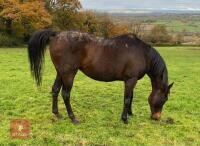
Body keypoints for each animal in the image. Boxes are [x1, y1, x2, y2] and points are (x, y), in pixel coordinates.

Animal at [27, 29, 173, 124]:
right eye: (164, 99)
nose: (156, 117)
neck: (142, 53)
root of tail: (57, 35)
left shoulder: (131, 80)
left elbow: (130, 97)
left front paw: (130, 113)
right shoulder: (131, 79)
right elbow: (127, 99)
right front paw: (125, 119)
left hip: (60, 72)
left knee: (55, 89)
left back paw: (57, 113)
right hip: (69, 73)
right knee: (65, 94)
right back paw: (73, 118)